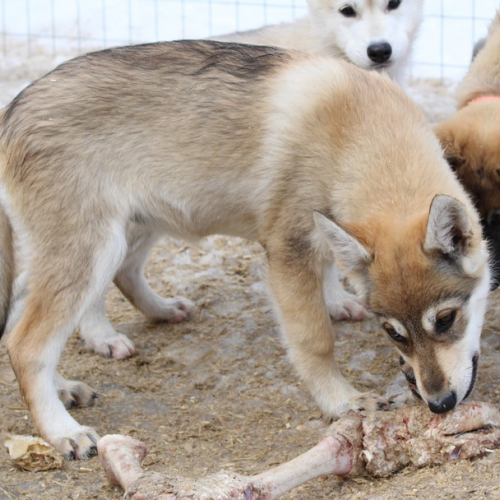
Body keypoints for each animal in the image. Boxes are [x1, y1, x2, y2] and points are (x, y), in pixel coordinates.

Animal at [0, 41, 490, 458]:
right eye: (393, 333)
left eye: (447, 320)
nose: (440, 405)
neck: (361, 133)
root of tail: (12, 111)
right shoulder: (287, 251)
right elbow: (315, 340)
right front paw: (341, 401)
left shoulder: (317, 237)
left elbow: (331, 269)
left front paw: (336, 301)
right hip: (92, 249)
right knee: (27, 345)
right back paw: (62, 431)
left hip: (129, 229)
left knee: (83, 293)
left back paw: (121, 342)